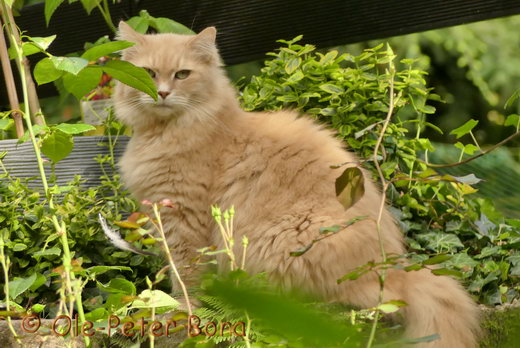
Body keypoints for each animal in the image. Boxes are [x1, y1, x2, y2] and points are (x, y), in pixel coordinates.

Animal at [114, 22, 480, 348]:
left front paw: (179, 313)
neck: (169, 132)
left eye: (182, 75)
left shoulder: (186, 219)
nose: (162, 93)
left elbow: (187, 276)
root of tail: (397, 272)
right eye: (149, 73)